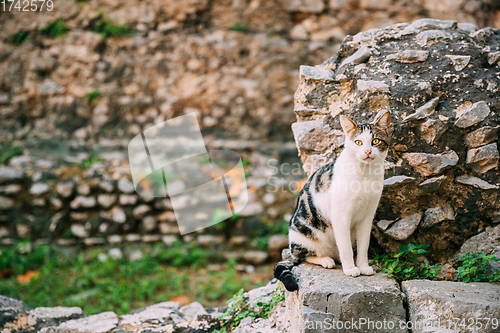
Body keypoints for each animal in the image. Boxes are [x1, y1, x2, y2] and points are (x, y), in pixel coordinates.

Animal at [274, 110, 390, 290]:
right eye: (358, 142)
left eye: (375, 141)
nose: (367, 152)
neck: (365, 174)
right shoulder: (340, 215)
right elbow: (346, 247)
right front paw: (350, 269)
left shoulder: (367, 216)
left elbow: (363, 245)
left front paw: (363, 266)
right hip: (303, 233)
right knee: (301, 256)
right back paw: (326, 260)